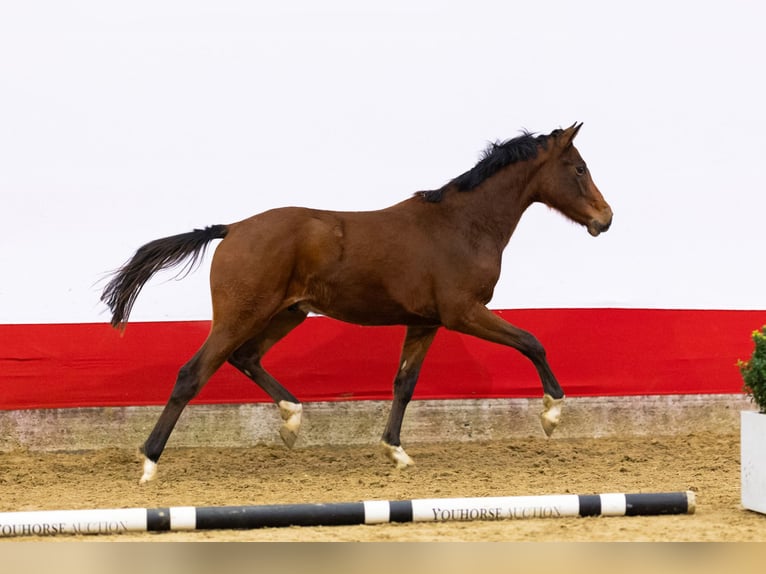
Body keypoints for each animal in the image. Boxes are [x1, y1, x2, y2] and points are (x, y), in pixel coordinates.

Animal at [101, 123, 613, 483]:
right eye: (579, 168)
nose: (605, 219)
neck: (463, 225)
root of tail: (231, 229)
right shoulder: (463, 313)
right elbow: (531, 341)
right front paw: (551, 415)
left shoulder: (425, 323)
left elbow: (404, 383)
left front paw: (396, 452)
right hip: (241, 314)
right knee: (193, 373)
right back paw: (148, 462)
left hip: (287, 313)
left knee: (246, 358)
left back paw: (291, 420)